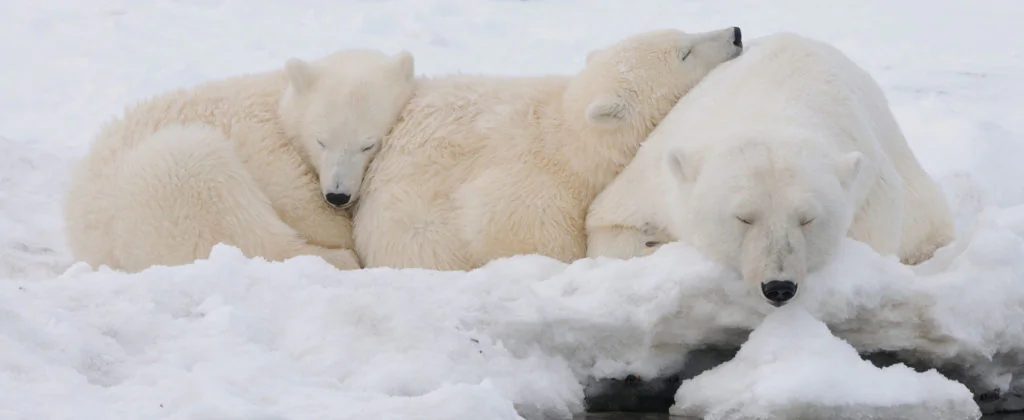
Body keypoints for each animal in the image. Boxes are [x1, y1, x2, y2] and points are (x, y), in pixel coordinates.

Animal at [63, 49, 416, 273]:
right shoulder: (261, 141)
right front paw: (338, 230)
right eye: (322, 140)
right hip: (164, 182)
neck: (278, 103)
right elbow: (296, 197)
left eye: (368, 145)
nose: (337, 195)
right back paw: (340, 259)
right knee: (239, 229)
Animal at [351, 27, 744, 271]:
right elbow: (518, 233)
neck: (574, 145)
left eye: (683, 34)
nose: (735, 33)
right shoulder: (535, 190)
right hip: (411, 227)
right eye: (685, 52)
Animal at [585, 32, 956, 306]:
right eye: (744, 217)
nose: (779, 286)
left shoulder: (871, 187)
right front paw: (655, 242)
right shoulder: (656, 174)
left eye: (807, 219)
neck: (770, 107)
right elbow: (610, 224)